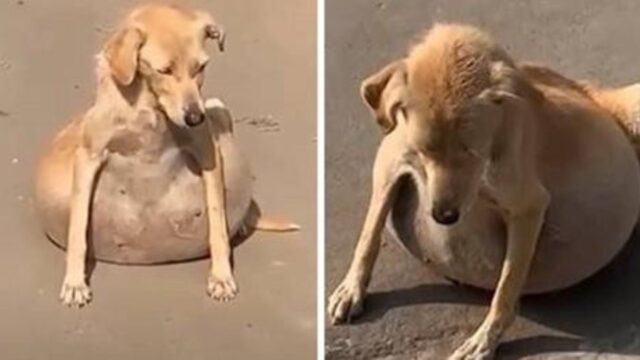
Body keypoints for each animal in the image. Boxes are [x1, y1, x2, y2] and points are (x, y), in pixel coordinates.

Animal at [33, 4, 298, 308]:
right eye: (164, 70)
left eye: (201, 67)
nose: (195, 118)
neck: (150, 107)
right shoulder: (89, 155)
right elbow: (77, 228)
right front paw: (75, 282)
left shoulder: (207, 151)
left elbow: (217, 224)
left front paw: (221, 276)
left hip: (216, 107)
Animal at [328, 23, 640, 358]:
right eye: (425, 151)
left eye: (471, 151)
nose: (444, 216)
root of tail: (596, 95)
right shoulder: (390, 160)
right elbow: (369, 234)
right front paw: (351, 289)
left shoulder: (528, 206)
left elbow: (506, 288)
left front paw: (485, 338)